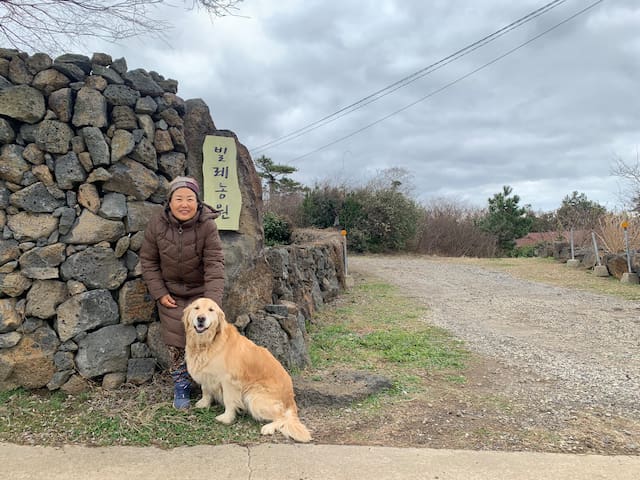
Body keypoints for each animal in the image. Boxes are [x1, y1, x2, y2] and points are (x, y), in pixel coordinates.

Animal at [181, 298, 312, 444]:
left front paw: (227, 417)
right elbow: (205, 390)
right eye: (196, 308)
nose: (201, 318)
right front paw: (204, 403)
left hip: (254, 397)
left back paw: (268, 428)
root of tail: (290, 397)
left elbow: (228, 400)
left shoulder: (229, 381)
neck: (207, 342)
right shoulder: (207, 374)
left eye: (211, 310)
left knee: (282, 417)